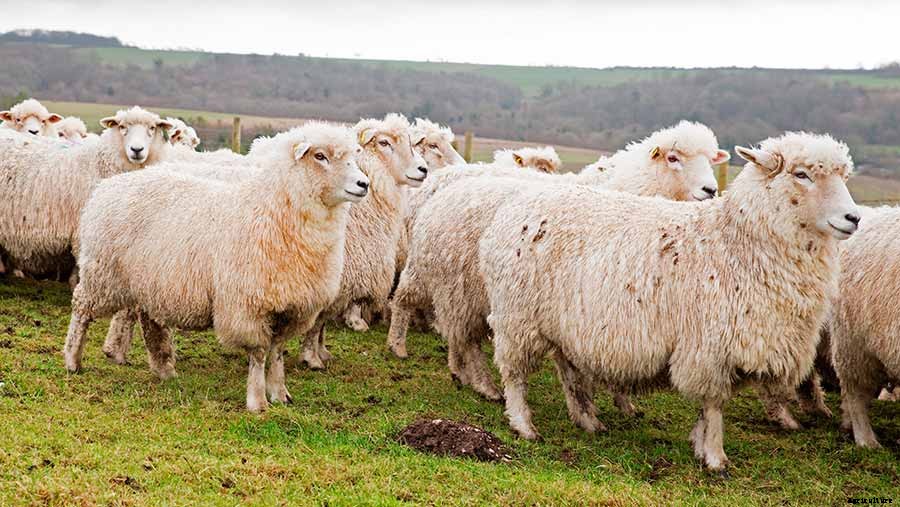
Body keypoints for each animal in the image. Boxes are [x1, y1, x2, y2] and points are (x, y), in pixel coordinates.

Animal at [63, 122, 368, 412]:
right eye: (320, 156)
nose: (364, 184)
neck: (272, 209)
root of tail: (107, 187)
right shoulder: (248, 306)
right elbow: (259, 353)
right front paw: (257, 401)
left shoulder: (292, 307)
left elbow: (277, 352)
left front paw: (280, 394)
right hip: (103, 273)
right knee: (81, 308)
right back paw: (72, 359)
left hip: (149, 280)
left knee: (150, 321)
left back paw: (164, 369)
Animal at [300, 113, 429, 369]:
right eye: (384, 143)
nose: (423, 169)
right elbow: (317, 322)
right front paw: (312, 358)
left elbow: (322, 322)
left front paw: (322, 352)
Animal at [387, 122, 729, 405]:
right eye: (673, 158)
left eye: (711, 160)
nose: (710, 190)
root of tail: (443, 179)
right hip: (440, 272)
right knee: (405, 301)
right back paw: (401, 347)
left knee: (459, 333)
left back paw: (462, 372)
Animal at [478, 132, 858, 471]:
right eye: (801, 174)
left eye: (843, 176)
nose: (853, 218)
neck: (735, 243)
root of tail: (518, 201)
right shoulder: (709, 347)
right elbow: (714, 404)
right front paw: (715, 457)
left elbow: (708, 407)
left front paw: (700, 444)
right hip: (517, 315)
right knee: (514, 373)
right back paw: (523, 424)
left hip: (562, 324)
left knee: (570, 373)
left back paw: (588, 421)